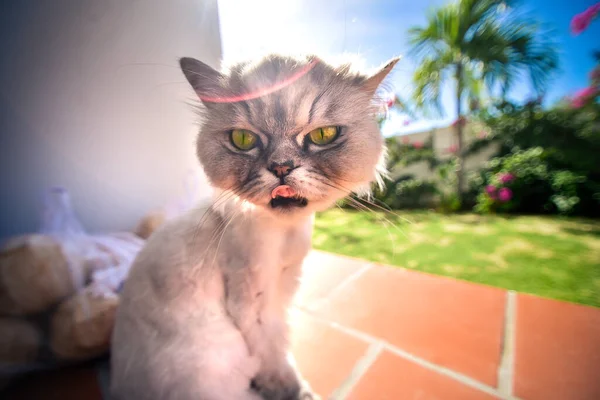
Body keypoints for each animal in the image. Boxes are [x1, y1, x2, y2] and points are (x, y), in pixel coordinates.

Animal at [111, 54, 398, 400]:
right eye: (244, 140)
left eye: (323, 135)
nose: (281, 168)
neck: (287, 233)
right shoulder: (256, 300)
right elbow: (275, 355)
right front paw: (293, 390)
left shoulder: (285, 284)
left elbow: (283, 344)